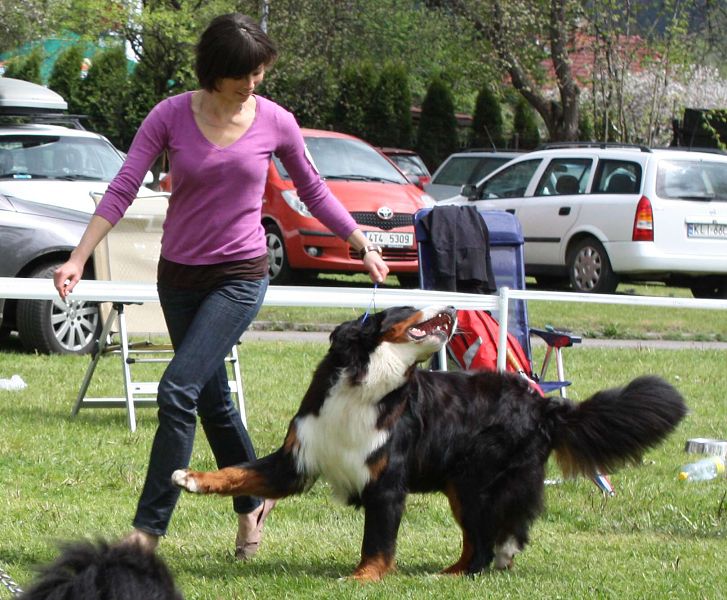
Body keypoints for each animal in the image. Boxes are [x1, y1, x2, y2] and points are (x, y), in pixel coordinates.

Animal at [173, 304, 692, 580]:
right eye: (407, 308)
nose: (453, 307)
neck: (366, 387)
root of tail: (542, 404)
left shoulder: (385, 482)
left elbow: (377, 541)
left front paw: (363, 578)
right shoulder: (300, 457)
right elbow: (240, 473)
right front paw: (192, 478)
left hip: (478, 483)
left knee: (489, 539)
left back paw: (476, 566)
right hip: (464, 488)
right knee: (475, 541)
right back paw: (448, 572)